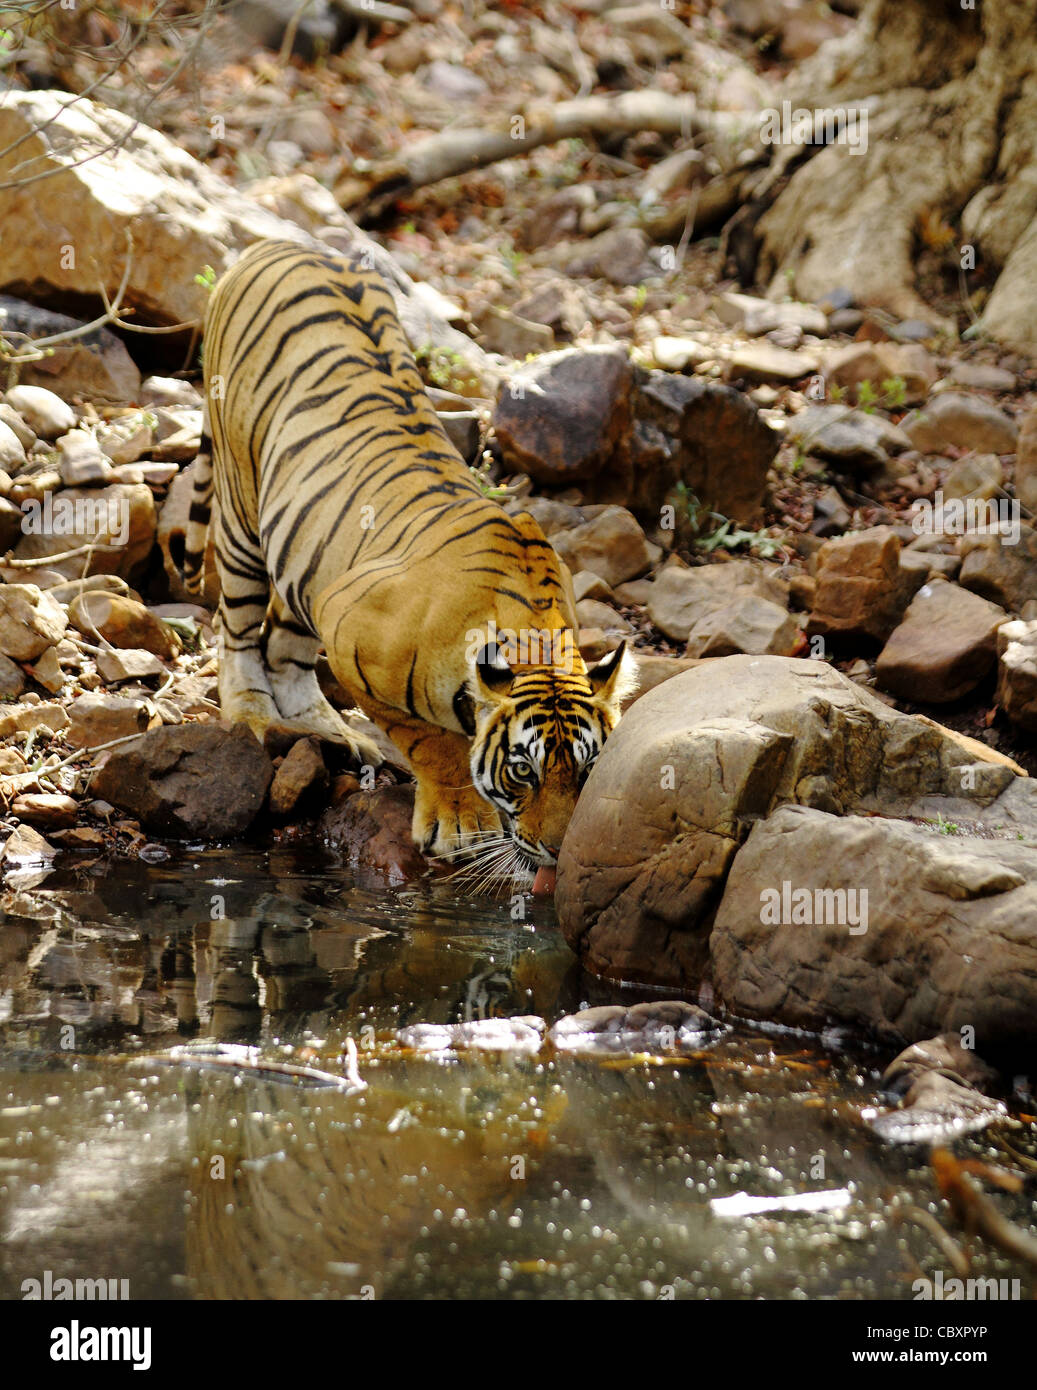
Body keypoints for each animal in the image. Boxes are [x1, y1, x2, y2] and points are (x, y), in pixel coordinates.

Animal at [182, 237, 633, 867]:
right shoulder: (350, 628)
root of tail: (281, 242)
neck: (535, 632)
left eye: (588, 772)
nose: (554, 851)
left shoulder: (332, 600)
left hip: (311, 559)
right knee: (243, 634)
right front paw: (461, 820)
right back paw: (253, 715)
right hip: (242, 506)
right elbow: (430, 740)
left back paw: (330, 730)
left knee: (284, 647)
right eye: (524, 772)